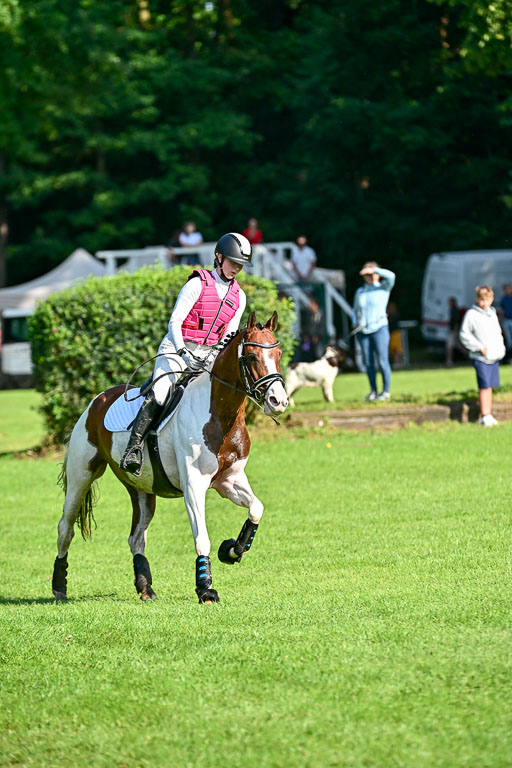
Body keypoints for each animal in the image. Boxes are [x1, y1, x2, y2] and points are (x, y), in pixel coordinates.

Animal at [51, 311, 289, 604]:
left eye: (278, 353)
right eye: (253, 357)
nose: (279, 401)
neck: (220, 414)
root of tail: (99, 399)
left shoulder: (229, 480)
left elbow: (256, 508)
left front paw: (232, 550)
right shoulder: (194, 485)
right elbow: (202, 537)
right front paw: (205, 588)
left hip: (141, 488)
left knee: (136, 537)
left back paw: (145, 587)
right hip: (81, 476)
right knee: (65, 528)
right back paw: (59, 587)